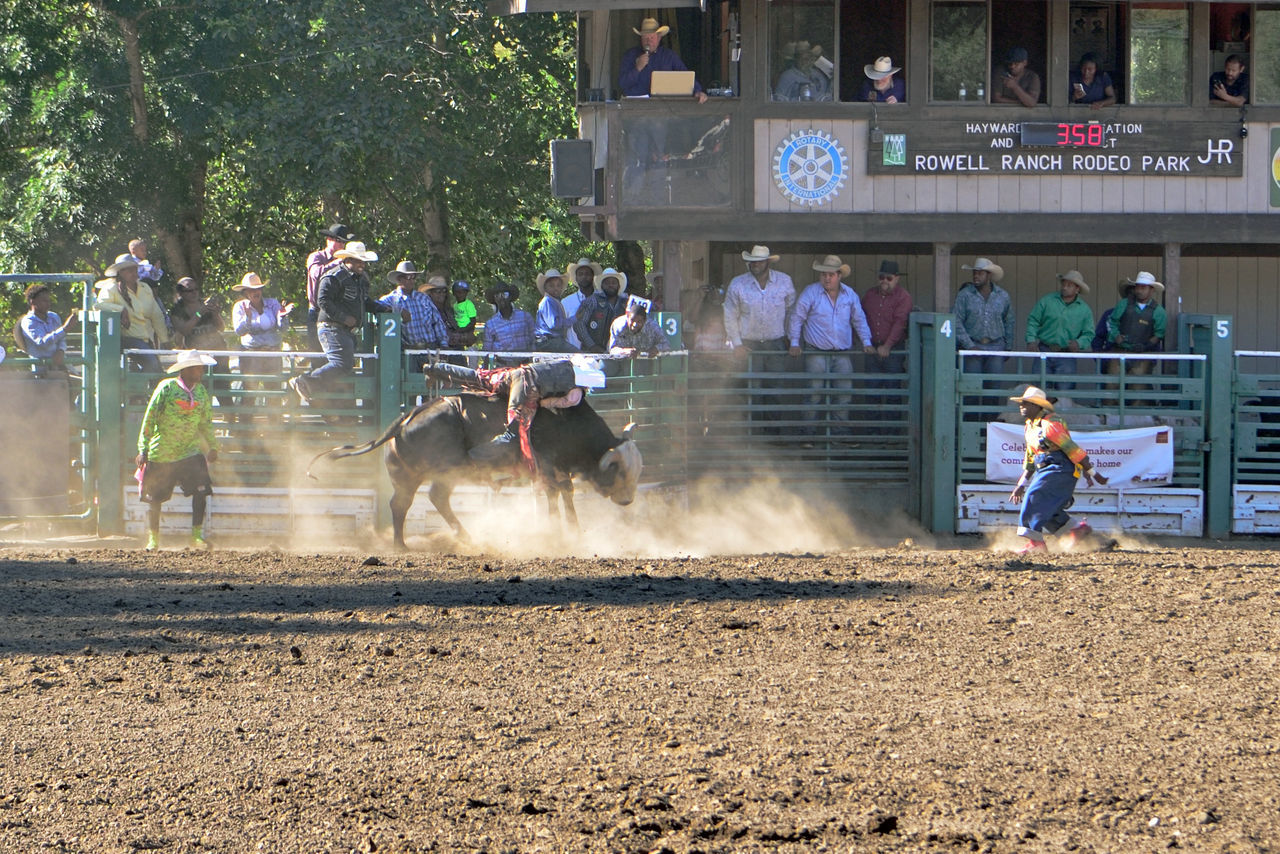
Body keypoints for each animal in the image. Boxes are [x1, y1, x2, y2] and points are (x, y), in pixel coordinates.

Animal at [300, 358, 640, 547]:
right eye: (618, 472)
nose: (628, 500)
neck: (567, 420)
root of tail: (408, 417)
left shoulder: (549, 473)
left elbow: (559, 496)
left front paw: (566, 528)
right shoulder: (548, 468)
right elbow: (562, 493)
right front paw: (567, 530)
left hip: (408, 475)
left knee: (404, 503)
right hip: (446, 471)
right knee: (428, 499)